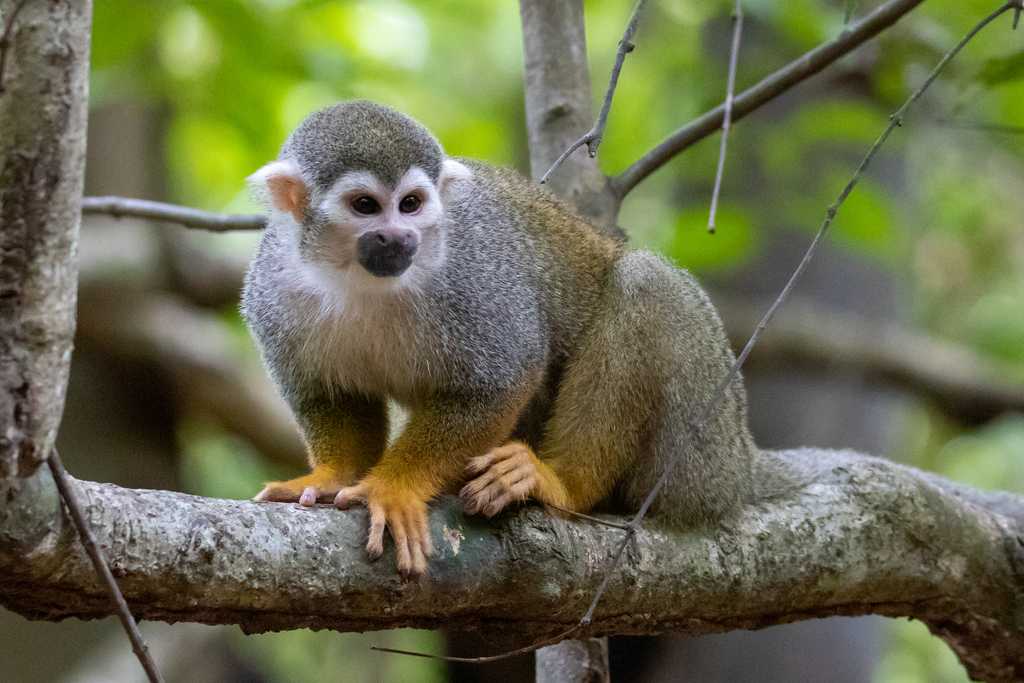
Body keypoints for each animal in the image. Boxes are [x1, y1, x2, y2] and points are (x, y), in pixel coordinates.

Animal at [242, 100, 765, 577]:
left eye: (411, 204)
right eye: (365, 206)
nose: (399, 238)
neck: (360, 280)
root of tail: (743, 468)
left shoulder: (473, 273)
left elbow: (501, 378)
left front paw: (394, 487)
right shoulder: (274, 287)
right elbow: (328, 392)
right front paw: (333, 476)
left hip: (705, 452)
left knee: (647, 282)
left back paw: (560, 483)